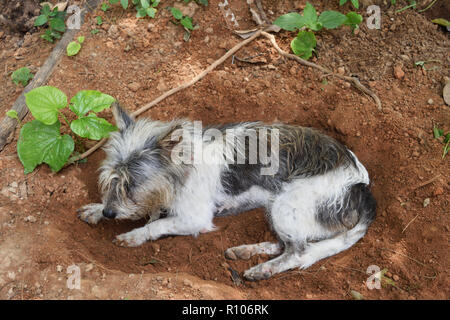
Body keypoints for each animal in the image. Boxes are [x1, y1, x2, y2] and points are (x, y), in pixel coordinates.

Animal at [78, 102, 376, 280]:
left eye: (132, 184)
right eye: (111, 180)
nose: (109, 213)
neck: (182, 167)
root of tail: (361, 187)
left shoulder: (194, 218)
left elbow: (156, 225)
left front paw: (133, 235)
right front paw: (97, 210)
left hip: (287, 205)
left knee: (298, 251)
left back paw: (263, 269)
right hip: (280, 209)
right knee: (286, 244)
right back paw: (246, 251)